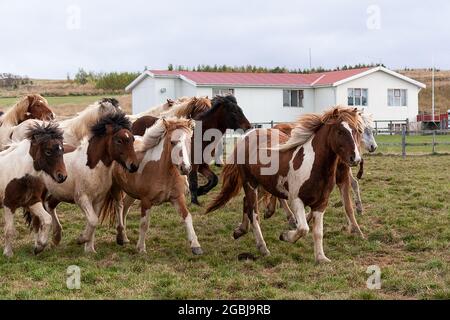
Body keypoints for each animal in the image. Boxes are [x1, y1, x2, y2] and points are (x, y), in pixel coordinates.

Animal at [0, 122, 67, 258]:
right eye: (48, 151)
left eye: (62, 150)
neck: (19, 172)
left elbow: (46, 219)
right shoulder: (8, 204)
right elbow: (9, 230)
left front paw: (39, 246)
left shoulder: (32, 202)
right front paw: (8, 253)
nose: (62, 176)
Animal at [100, 117, 202, 255]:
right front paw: (141, 248)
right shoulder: (146, 201)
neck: (162, 170)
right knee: (119, 207)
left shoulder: (177, 197)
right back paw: (120, 237)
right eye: (172, 142)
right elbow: (144, 223)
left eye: (189, 141)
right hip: (116, 188)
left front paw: (196, 246)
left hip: (131, 193)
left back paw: (125, 238)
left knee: (125, 208)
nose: (185, 168)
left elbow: (187, 217)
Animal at [206, 107, 364, 262]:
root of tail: (247, 136)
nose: (355, 159)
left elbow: (318, 232)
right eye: (340, 131)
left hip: (262, 184)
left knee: (246, 203)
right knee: (253, 213)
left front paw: (321, 257)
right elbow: (303, 229)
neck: (312, 165)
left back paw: (240, 231)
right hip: (250, 184)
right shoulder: (296, 200)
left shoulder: (321, 203)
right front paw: (285, 236)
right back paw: (262, 247)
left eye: (356, 130)